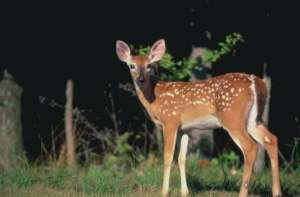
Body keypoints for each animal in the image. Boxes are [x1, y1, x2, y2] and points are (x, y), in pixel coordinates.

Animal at [115, 38, 282, 197]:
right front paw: (185, 192)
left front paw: (164, 192)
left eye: (149, 65)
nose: (141, 79)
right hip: (254, 120)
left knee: (250, 147)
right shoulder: (185, 129)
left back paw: (243, 193)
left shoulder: (170, 121)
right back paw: (276, 192)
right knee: (271, 139)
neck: (155, 98)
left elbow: (168, 157)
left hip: (232, 118)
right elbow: (182, 159)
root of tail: (256, 82)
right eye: (132, 66)